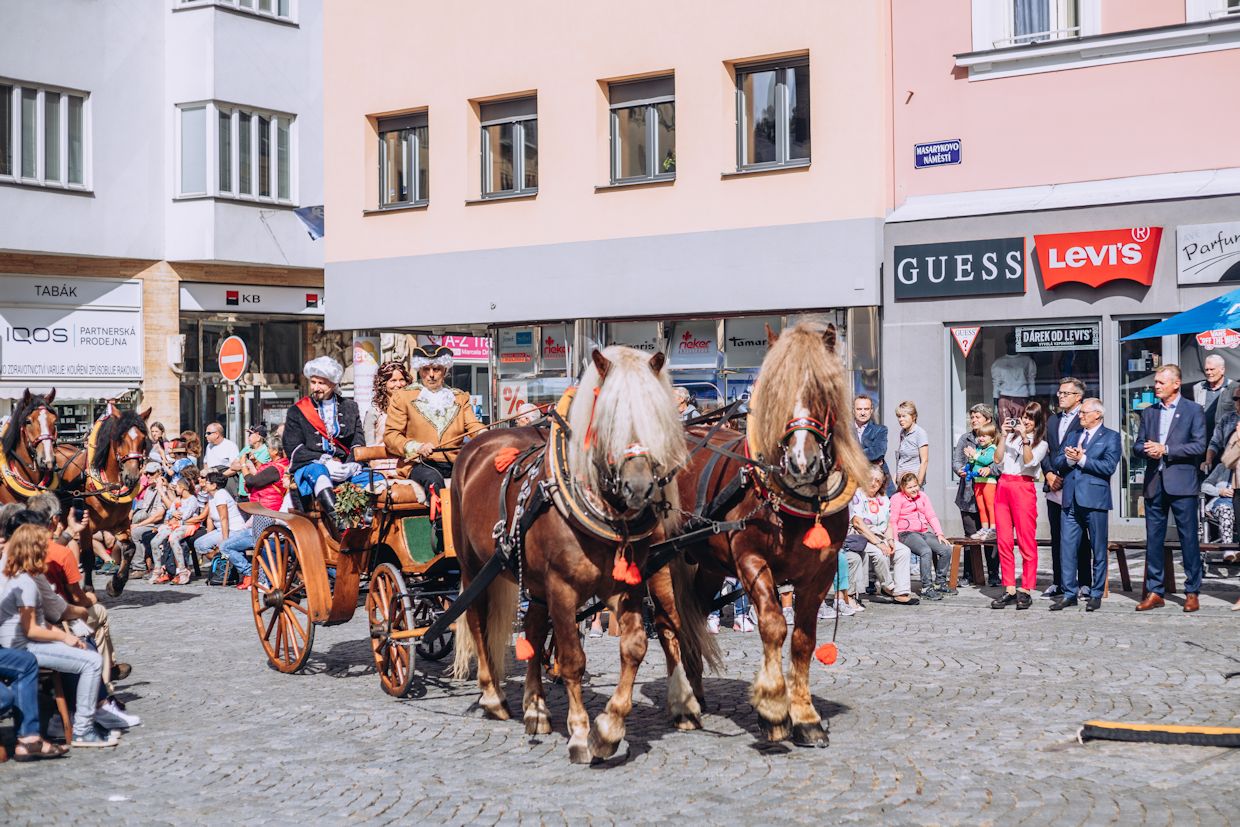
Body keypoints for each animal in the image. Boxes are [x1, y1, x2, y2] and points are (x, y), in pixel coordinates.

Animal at [669, 322, 872, 748]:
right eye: (776, 393)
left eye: (821, 391)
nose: (801, 461)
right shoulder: (750, 560)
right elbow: (774, 625)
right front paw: (773, 711)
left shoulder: (819, 573)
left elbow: (804, 639)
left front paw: (806, 716)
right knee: (669, 623)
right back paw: (682, 705)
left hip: (707, 564)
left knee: (694, 613)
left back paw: (695, 692)